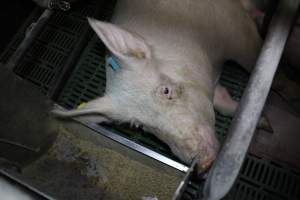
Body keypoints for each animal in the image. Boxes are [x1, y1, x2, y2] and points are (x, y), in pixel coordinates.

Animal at [52, 0, 262, 172]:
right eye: (139, 125)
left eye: (166, 90)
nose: (203, 164)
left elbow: (255, 57)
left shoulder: (236, 28)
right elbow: (223, 104)